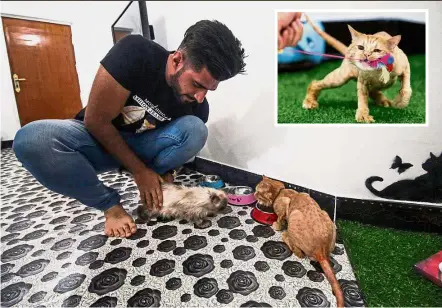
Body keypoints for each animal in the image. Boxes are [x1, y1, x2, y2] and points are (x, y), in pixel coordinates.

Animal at [254, 176, 344, 308]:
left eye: (258, 192)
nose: (253, 194)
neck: (281, 191)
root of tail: (321, 251)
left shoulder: (284, 204)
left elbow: (279, 220)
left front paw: (277, 226)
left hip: (294, 215)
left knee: (299, 253)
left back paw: (285, 235)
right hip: (325, 214)